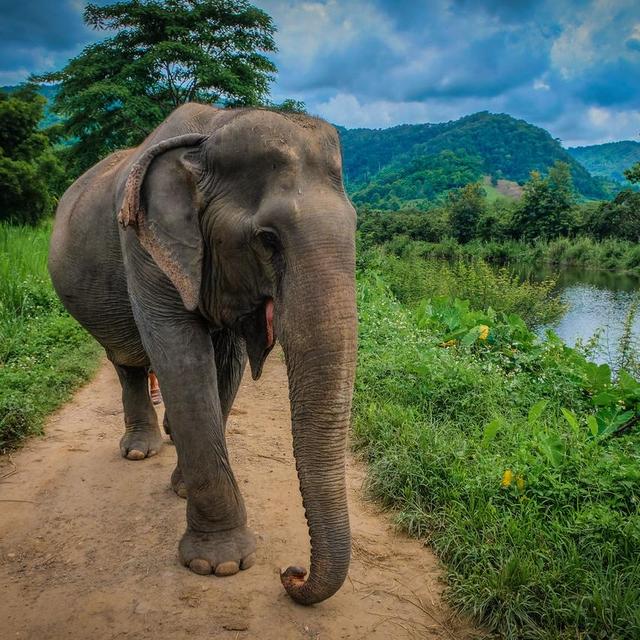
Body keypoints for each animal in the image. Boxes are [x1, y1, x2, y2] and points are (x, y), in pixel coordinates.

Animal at [48, 102, 360, 604]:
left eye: (356, 228)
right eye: (268, 239)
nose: (290, 573)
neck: (213, 130)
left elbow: (226, 363)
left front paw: (181, 490)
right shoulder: (144, 243)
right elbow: (181, 356)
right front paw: (220, 564)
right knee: (127, 360)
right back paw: (140, 451)